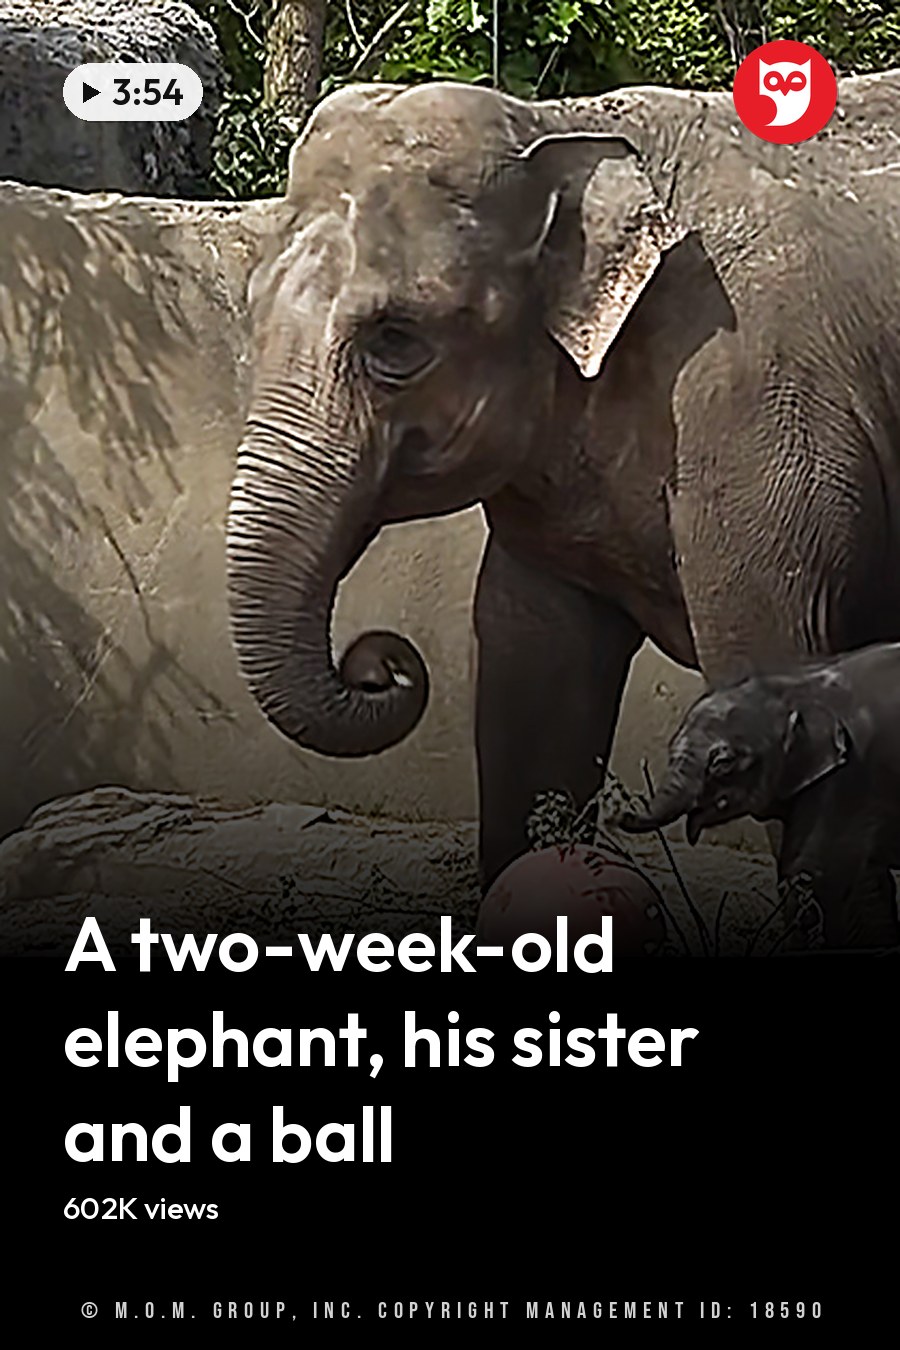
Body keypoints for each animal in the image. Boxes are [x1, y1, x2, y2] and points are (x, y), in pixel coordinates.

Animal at [617, 644, 900, 947]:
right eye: (670, 750)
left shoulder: (851, 775)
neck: (798, 687)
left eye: (722, 762)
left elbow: (816, 870)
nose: (621, 811)